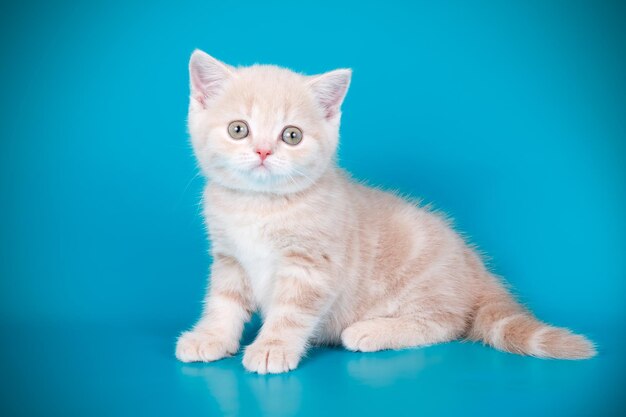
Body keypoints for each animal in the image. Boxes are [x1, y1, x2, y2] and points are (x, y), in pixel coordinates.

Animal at [176, 49, 596, 374]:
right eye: (238, 129)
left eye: (291, 135)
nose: (263, 151)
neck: (259, 205)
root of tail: (474, 266)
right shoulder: (229, 258)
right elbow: (223, 302)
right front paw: (211, 337)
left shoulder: (312, 265)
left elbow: (291, 311)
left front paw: (272, 347)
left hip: (424, 289)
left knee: (447, 323)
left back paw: (370, 331)